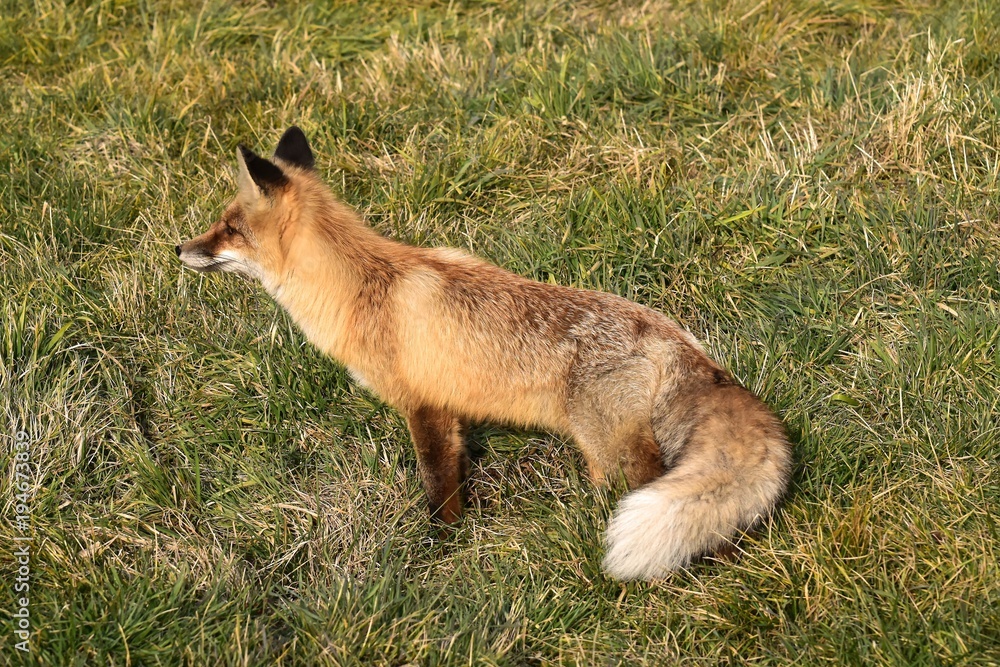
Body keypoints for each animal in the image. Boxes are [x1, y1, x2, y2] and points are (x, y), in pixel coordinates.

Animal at [176, 128, 792, 580]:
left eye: (229, 229)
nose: (179, 248)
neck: (363, 286)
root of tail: (676, 339)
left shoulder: (422, 403)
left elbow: (438, 486)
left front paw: (440, 550)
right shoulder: (449, 409)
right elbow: (456, 474)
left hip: (612, 452)